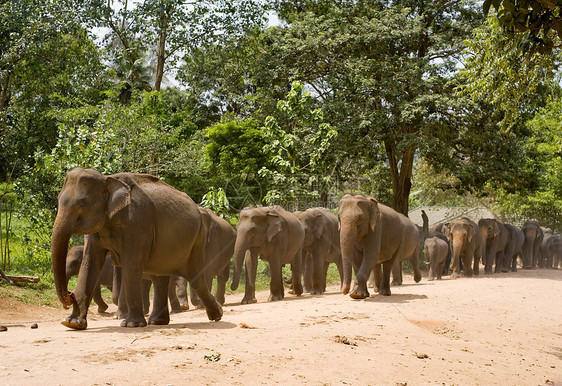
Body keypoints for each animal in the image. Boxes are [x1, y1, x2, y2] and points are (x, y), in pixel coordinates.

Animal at [50, 167, 221, 330]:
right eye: (58, 200)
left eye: (82, 204)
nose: (70, 294)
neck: (108, 179)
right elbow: (90, 263)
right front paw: (71, 323)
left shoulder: (138, 222)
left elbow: (131, 264)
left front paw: (131, 324)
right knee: (160, 278)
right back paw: (158, 321)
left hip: (197, 240)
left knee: (195, 278)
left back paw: (217, 315)